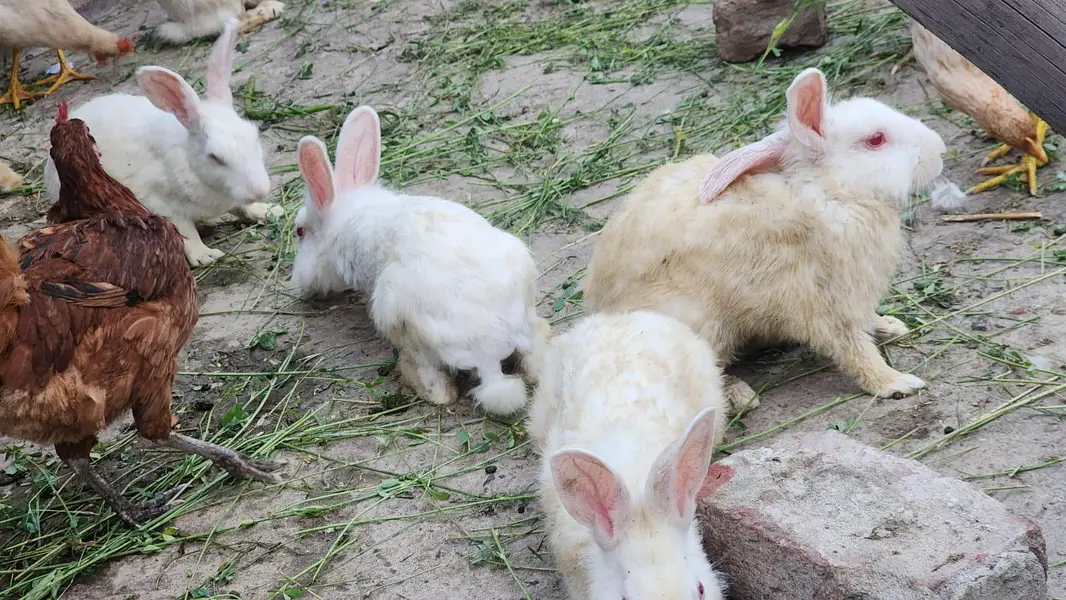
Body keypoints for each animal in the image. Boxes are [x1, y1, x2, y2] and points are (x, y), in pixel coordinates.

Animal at [42, 18, 281, 267]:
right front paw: (205, 256)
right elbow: (186, 232)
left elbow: (242, 207)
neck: (191, 162)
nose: (259, 191)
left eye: (255, 137)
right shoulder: (161, 202)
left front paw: (269, 210)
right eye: (215, 157)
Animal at [583, 67, 946, 402]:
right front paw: (896, 383)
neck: (828, 193)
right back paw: (740, 396)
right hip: (698, 323)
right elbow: (854, 349)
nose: (940, 149)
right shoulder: (823, 303)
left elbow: (866, 322)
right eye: (876, 140)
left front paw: (890, 326)